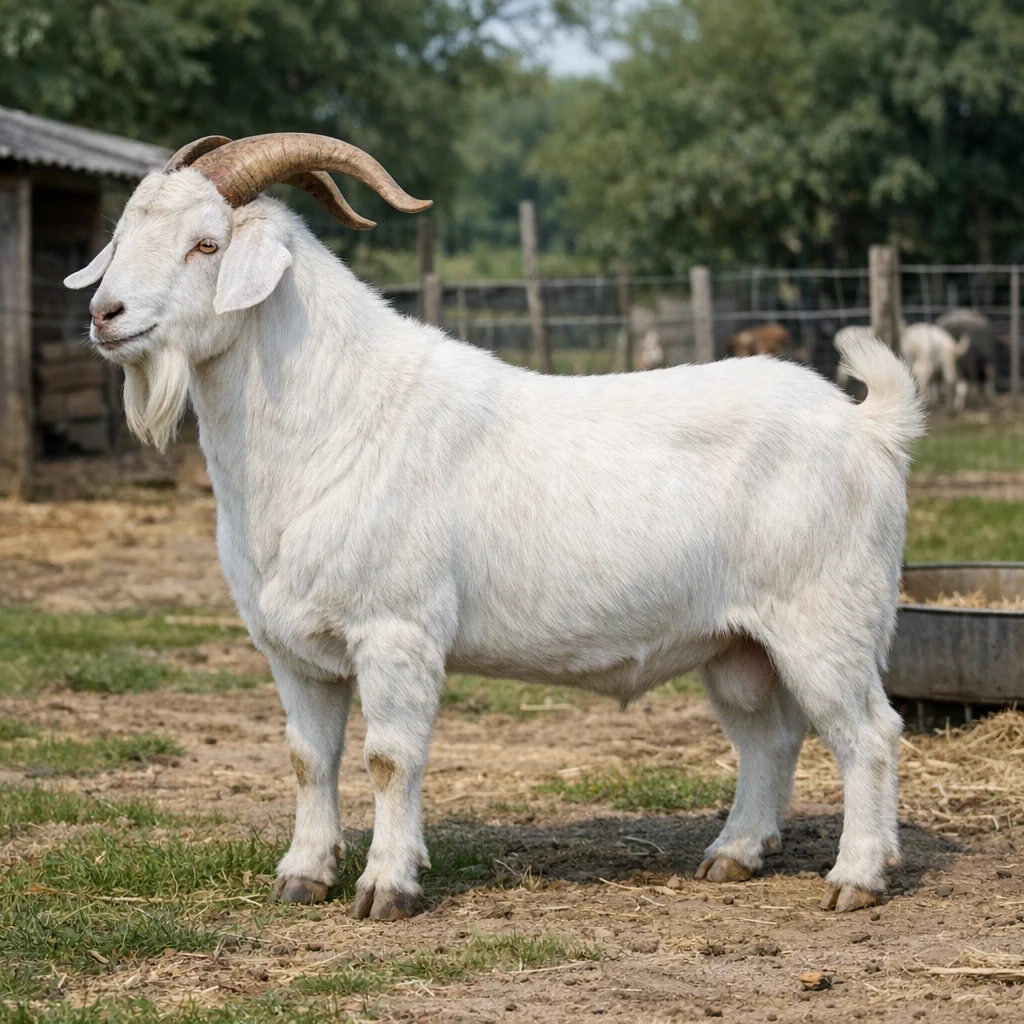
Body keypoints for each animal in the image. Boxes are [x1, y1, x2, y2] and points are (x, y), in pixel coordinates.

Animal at [67, 132, 924, 920]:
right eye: (125, 232)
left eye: (206, 243)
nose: (105, 315)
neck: (336, 414)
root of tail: (868, 426)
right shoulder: (293, 648)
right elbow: (309, 758)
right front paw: (304, 875)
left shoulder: (396, 629)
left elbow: (389, 758)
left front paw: (386, 886)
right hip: (736, 643)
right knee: (767, 738)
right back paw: (736, 854)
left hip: (826, 621)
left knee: (868, 733)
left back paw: (858, 876)